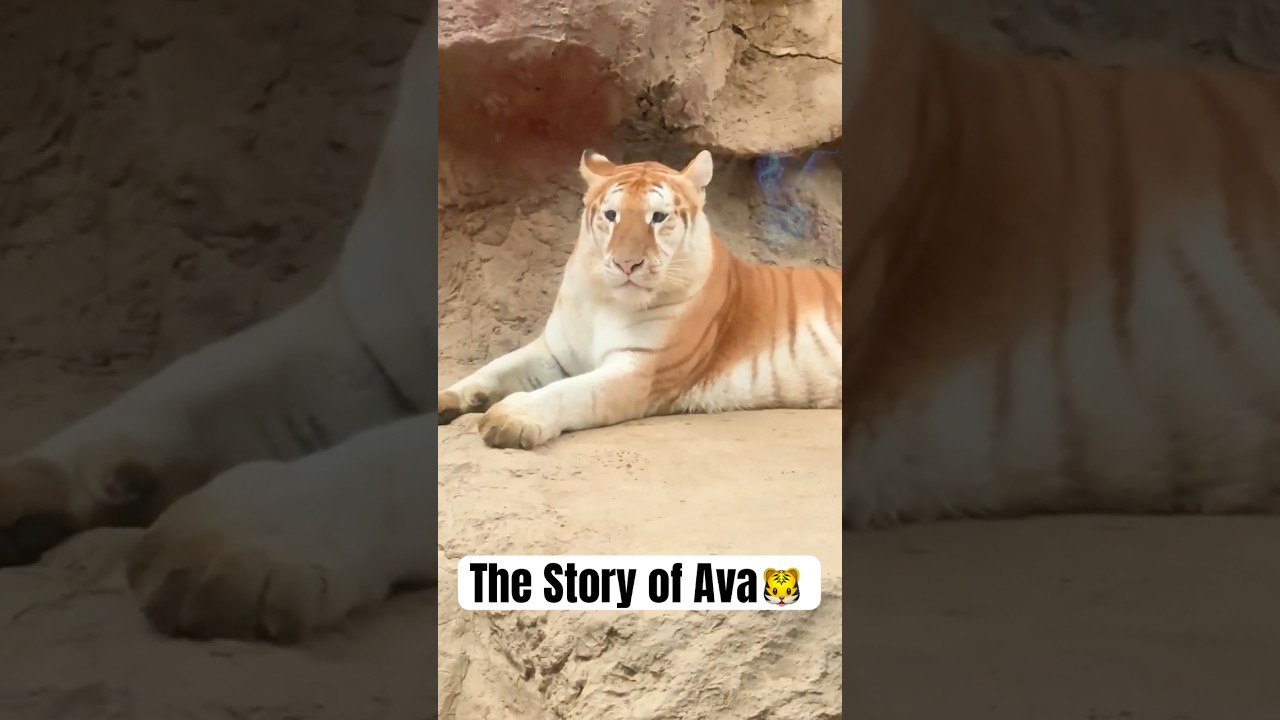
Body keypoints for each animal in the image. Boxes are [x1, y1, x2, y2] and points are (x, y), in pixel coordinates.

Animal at [438, 149, 842, 449]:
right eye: (611, 215)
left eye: (658, 217)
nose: (626, 263)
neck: (602, 301)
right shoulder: (554, 352)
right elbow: (494, 368)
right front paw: (448, 398)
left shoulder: (638, 371)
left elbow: (569, 393)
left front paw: (511, 418)